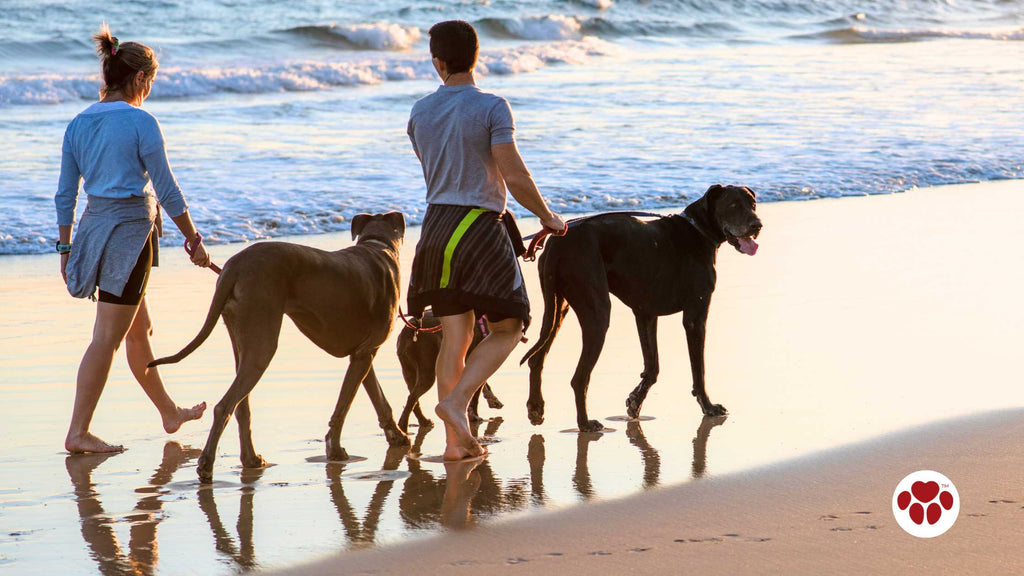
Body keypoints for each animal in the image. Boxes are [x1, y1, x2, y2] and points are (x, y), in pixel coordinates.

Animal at [149, 211, 411, 479]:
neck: (377, 245)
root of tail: (234, 267)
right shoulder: (364, 354)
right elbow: (343, 407)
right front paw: (335, 450)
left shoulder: (362, 354)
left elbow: (379, 399)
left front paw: (397, 435)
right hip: (262, 342)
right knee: (223, 406)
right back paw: (207, 464)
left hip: (242, 336)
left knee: (241, 406)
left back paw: (251, 459)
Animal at [524, 183, 757, 430]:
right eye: (733, 205)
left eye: (752, 204)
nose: (757, 225)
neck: (699, 229)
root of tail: (556, 244)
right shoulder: (695, 317)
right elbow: (698, 370)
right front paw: (709, 406)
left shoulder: (646, 313)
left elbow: (652, 366)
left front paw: (635, 401)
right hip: (597, 313)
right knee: (579, 378)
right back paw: (585, 423)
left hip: (557, 309)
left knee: (537, 358)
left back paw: (536, 407)